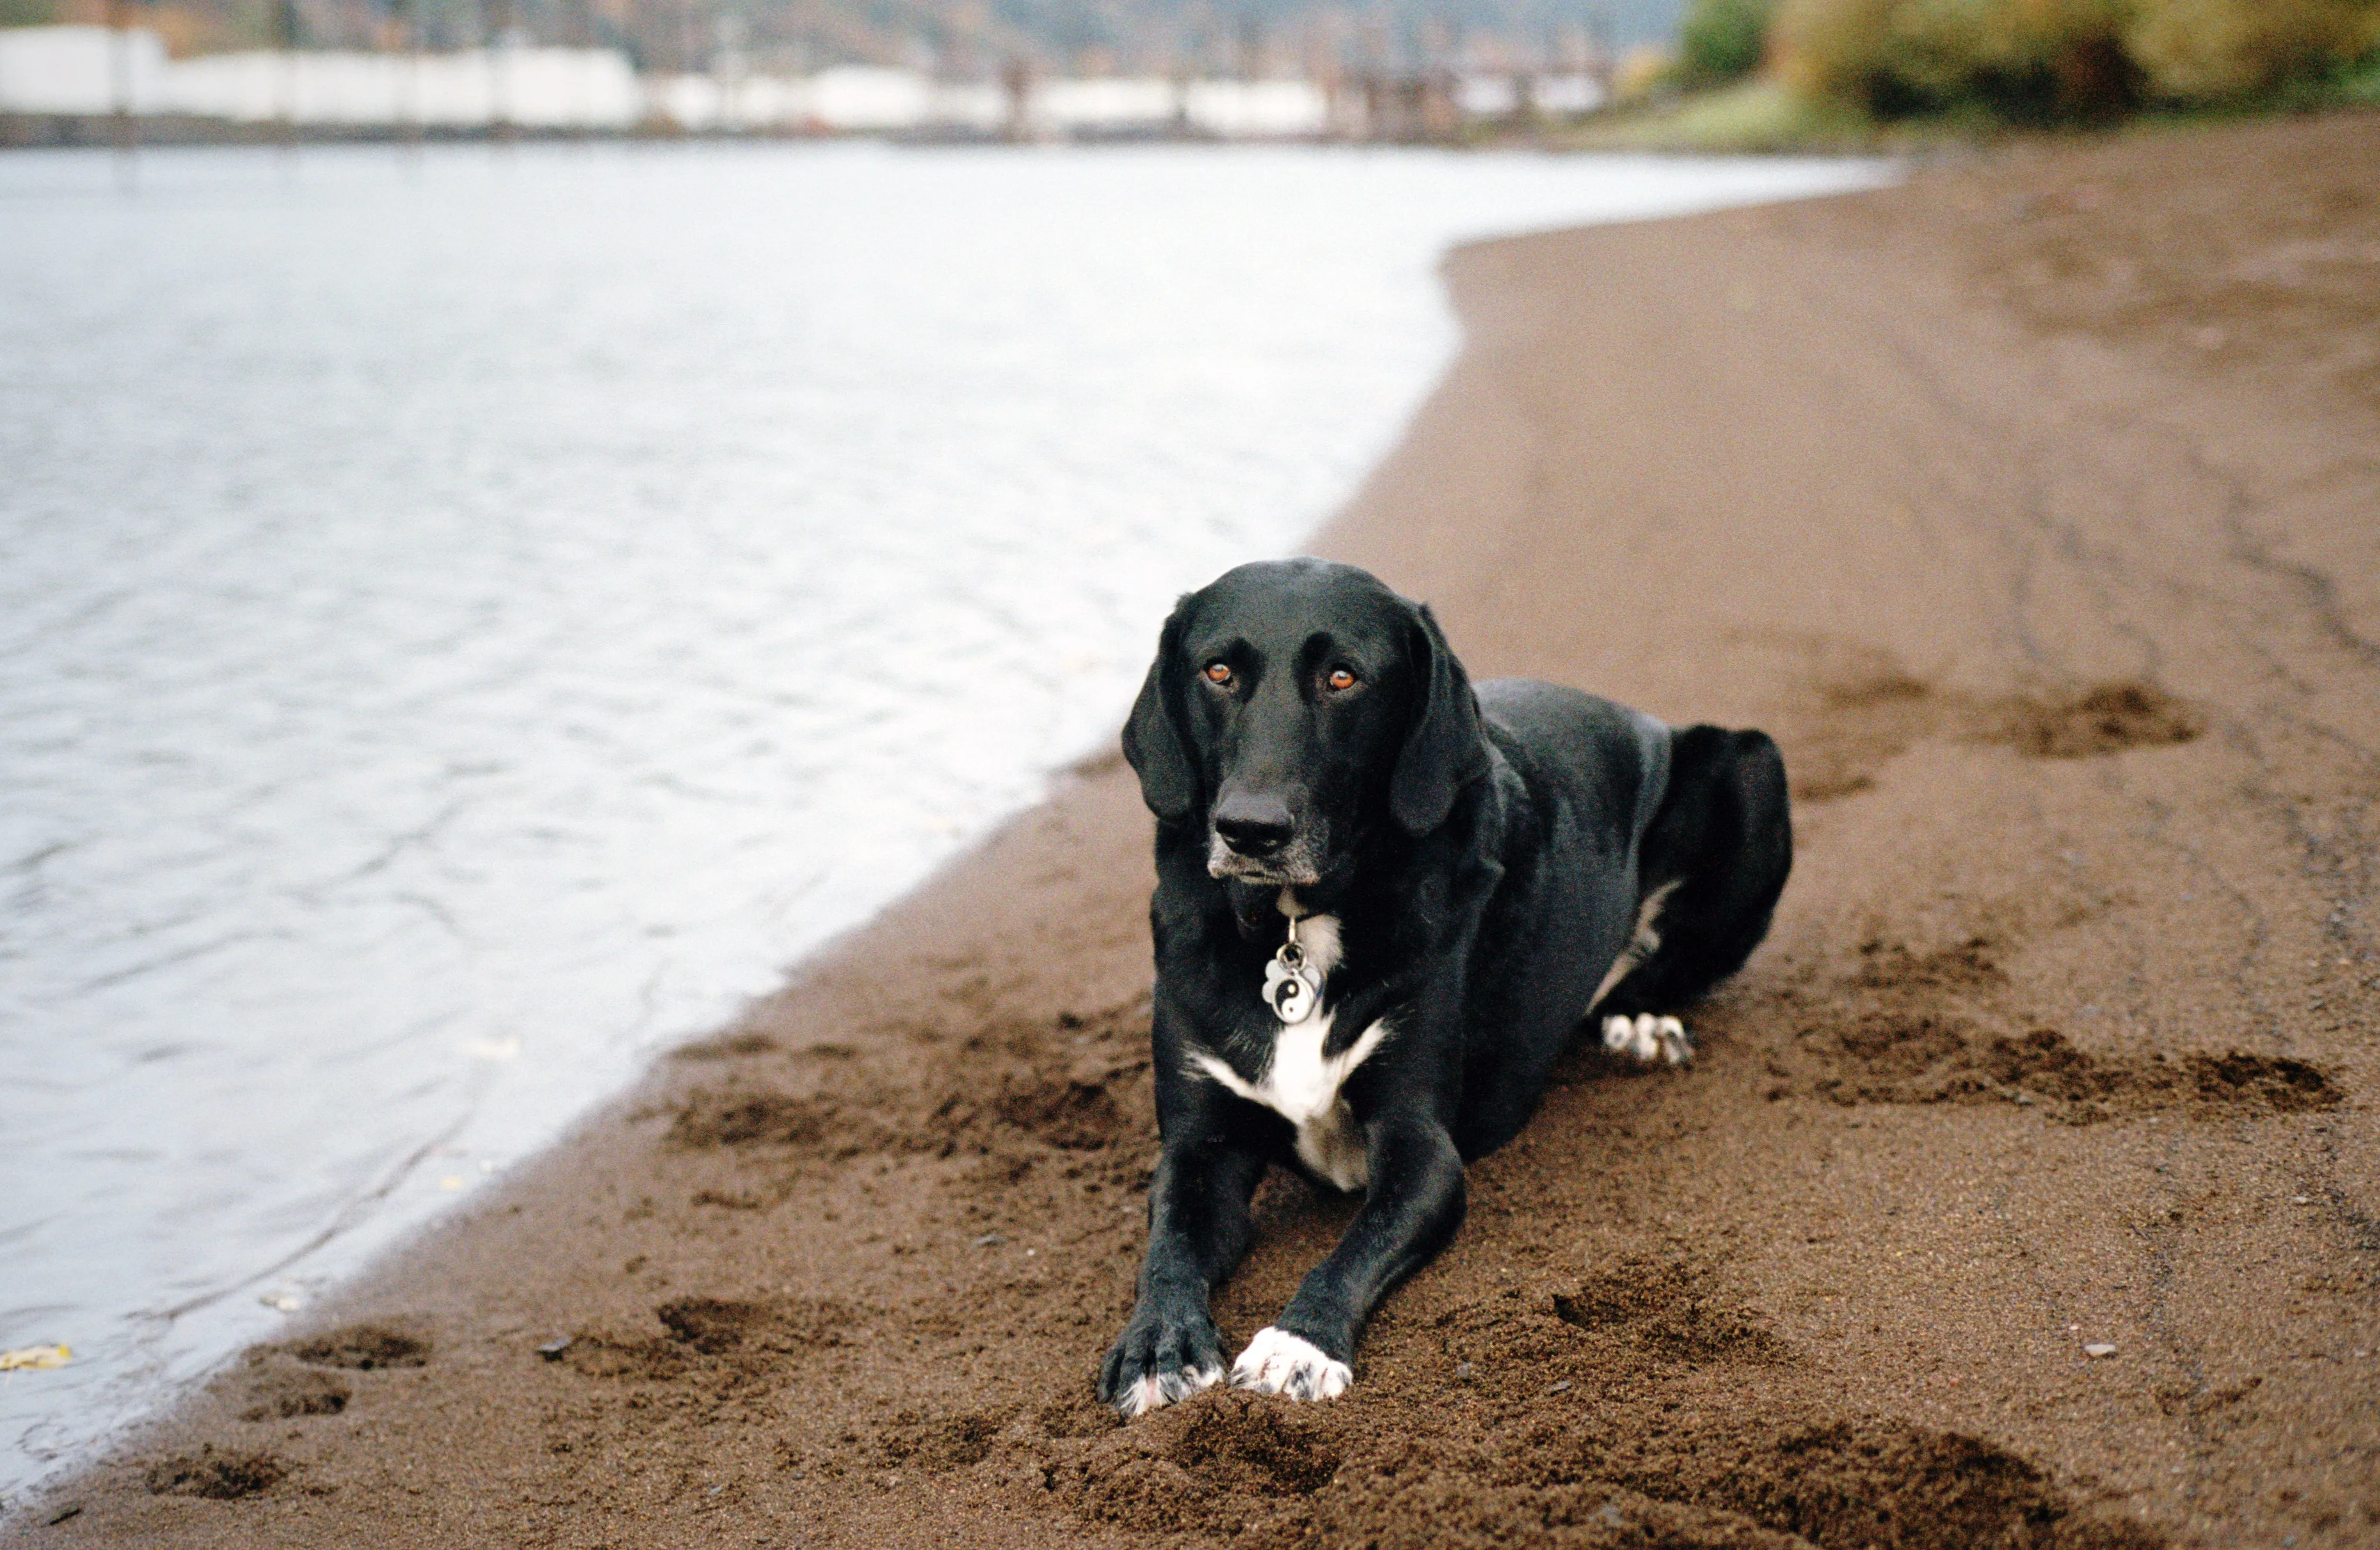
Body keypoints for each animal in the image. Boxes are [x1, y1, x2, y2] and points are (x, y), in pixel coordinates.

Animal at [1095, 561, 1790, 1418]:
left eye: (1344, 677)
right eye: (1218, 672)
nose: (1249, 830)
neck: (1295, 926)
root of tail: (1639, 716)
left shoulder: (1421, 1146)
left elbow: (1355, 1245)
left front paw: (1298, 1345)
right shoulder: (1199, 1143)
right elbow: (1169, 1246)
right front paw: (1159, 1345)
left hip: (1753, 762)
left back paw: (1642, 1017)